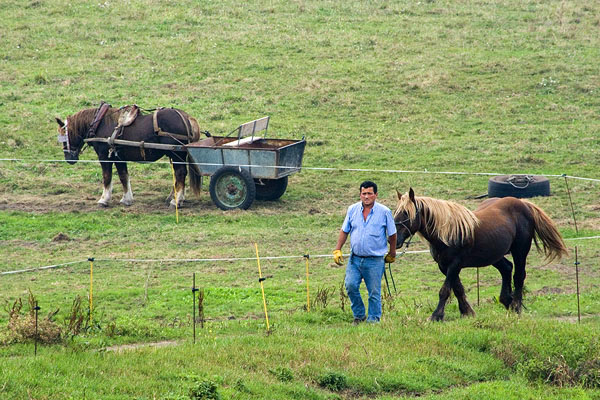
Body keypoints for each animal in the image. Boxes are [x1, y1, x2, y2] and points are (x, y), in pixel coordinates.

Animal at [56, 101, 206, 208]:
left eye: (64, 138)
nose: (69, 158)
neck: (99, 123)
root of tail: (186, 117)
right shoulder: (118, 157)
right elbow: (123, 176)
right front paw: (127, 199)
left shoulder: (105, 156)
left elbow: (107, 177)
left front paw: (104, 200)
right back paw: (177, 197)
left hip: (176, 154)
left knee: (180, 173)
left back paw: (176, 201)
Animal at [394, 188, 568, 322]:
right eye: (395, 213)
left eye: (406, 214)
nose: (395, 241)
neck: (447, 232)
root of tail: (524, 203)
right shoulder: (444, 266)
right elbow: (457, 289)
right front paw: (467, 312)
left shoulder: (455, 264)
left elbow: (445, 290)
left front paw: (436, 316)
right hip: (494, 255)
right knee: (507, 268)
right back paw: (507, 301)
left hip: (520, 251)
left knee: (519, 276)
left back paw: (516, 307)